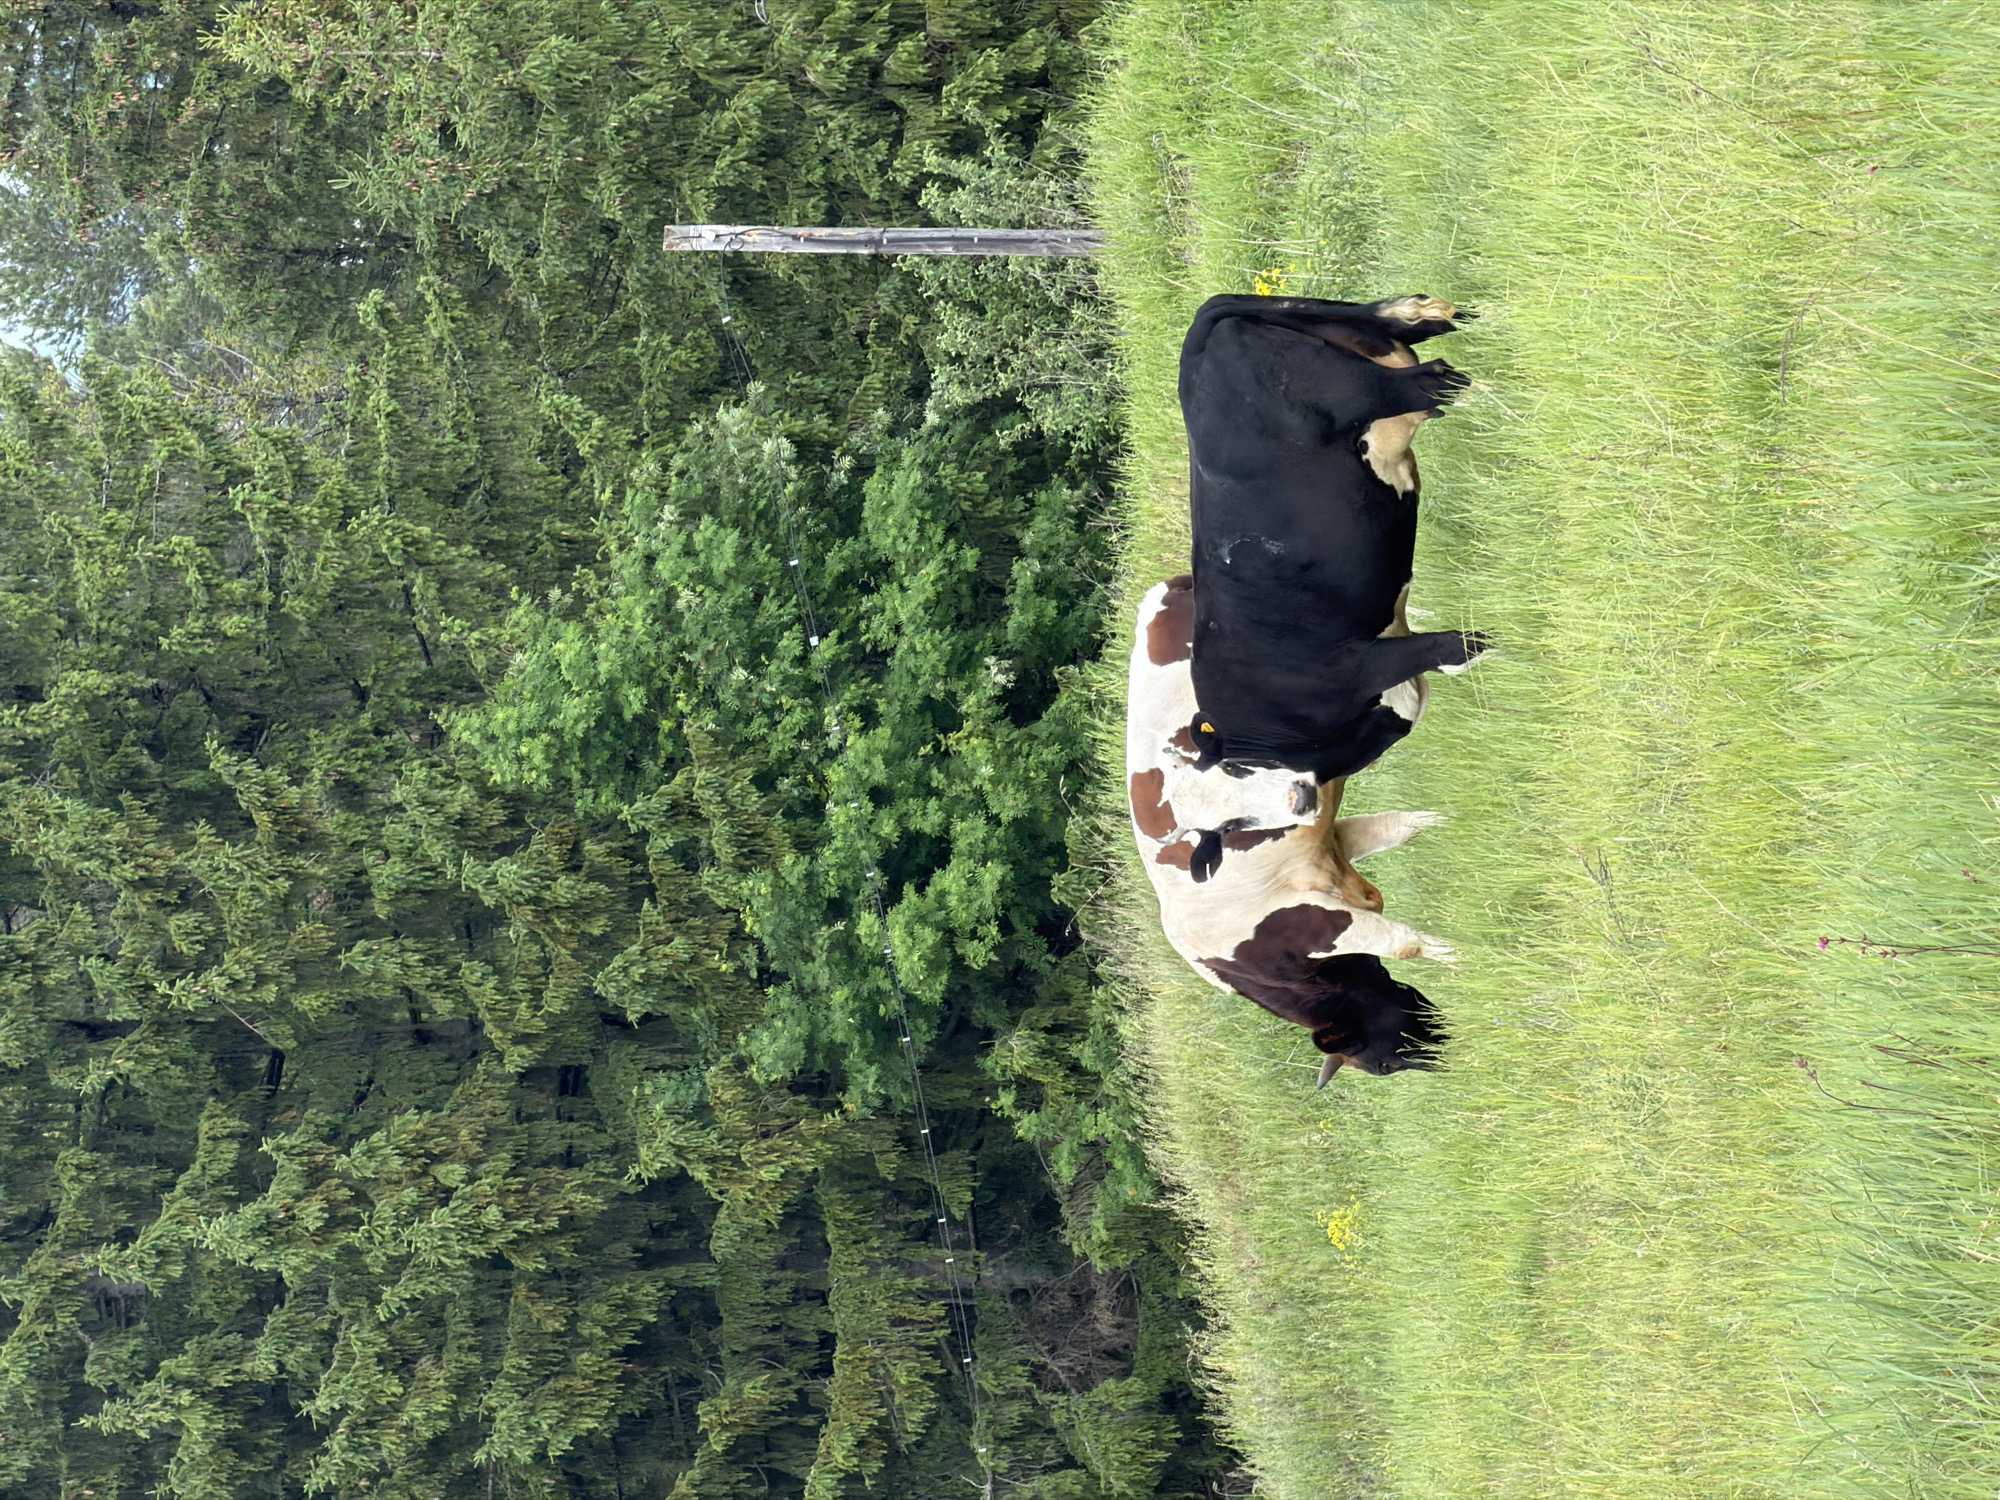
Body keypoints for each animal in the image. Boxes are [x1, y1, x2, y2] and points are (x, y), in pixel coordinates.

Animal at [1182, 293, 1491, 779]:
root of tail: (1201, 330)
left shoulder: (1355, 663)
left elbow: (1451, 649)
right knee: (1412, 320)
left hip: (1370, 389)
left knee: (1433, 380)